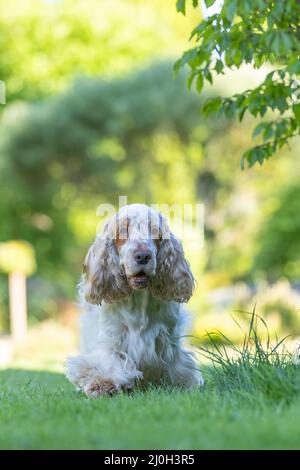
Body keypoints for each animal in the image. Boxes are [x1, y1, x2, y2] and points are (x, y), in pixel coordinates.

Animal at [66, 204, 204, 394]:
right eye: (123, 231)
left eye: (155, 231)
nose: (143, 256)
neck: (138, 299)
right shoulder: (112, 338)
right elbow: (109, 363)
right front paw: (103, 384)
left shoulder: (168, 338)